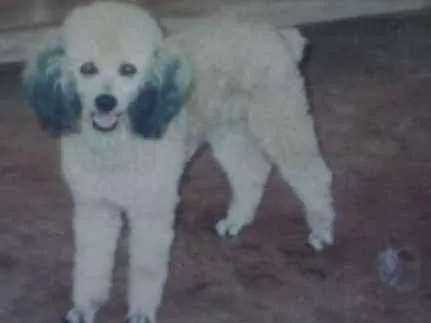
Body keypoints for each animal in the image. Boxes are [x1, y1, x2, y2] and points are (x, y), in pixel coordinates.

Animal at [22, 1, 338, 322]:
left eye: (128, 70)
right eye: (87, 68)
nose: (105, 102)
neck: (116, 144)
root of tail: (276, 34)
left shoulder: (152, 210)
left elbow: (146, 268)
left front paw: (141, 311)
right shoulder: (96, 207)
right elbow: (91, 264)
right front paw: (86, 307)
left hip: (282, 121)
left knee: (313, 175)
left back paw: (321, 229)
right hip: (228, 130)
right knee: (251, 171)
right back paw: (236, 221)